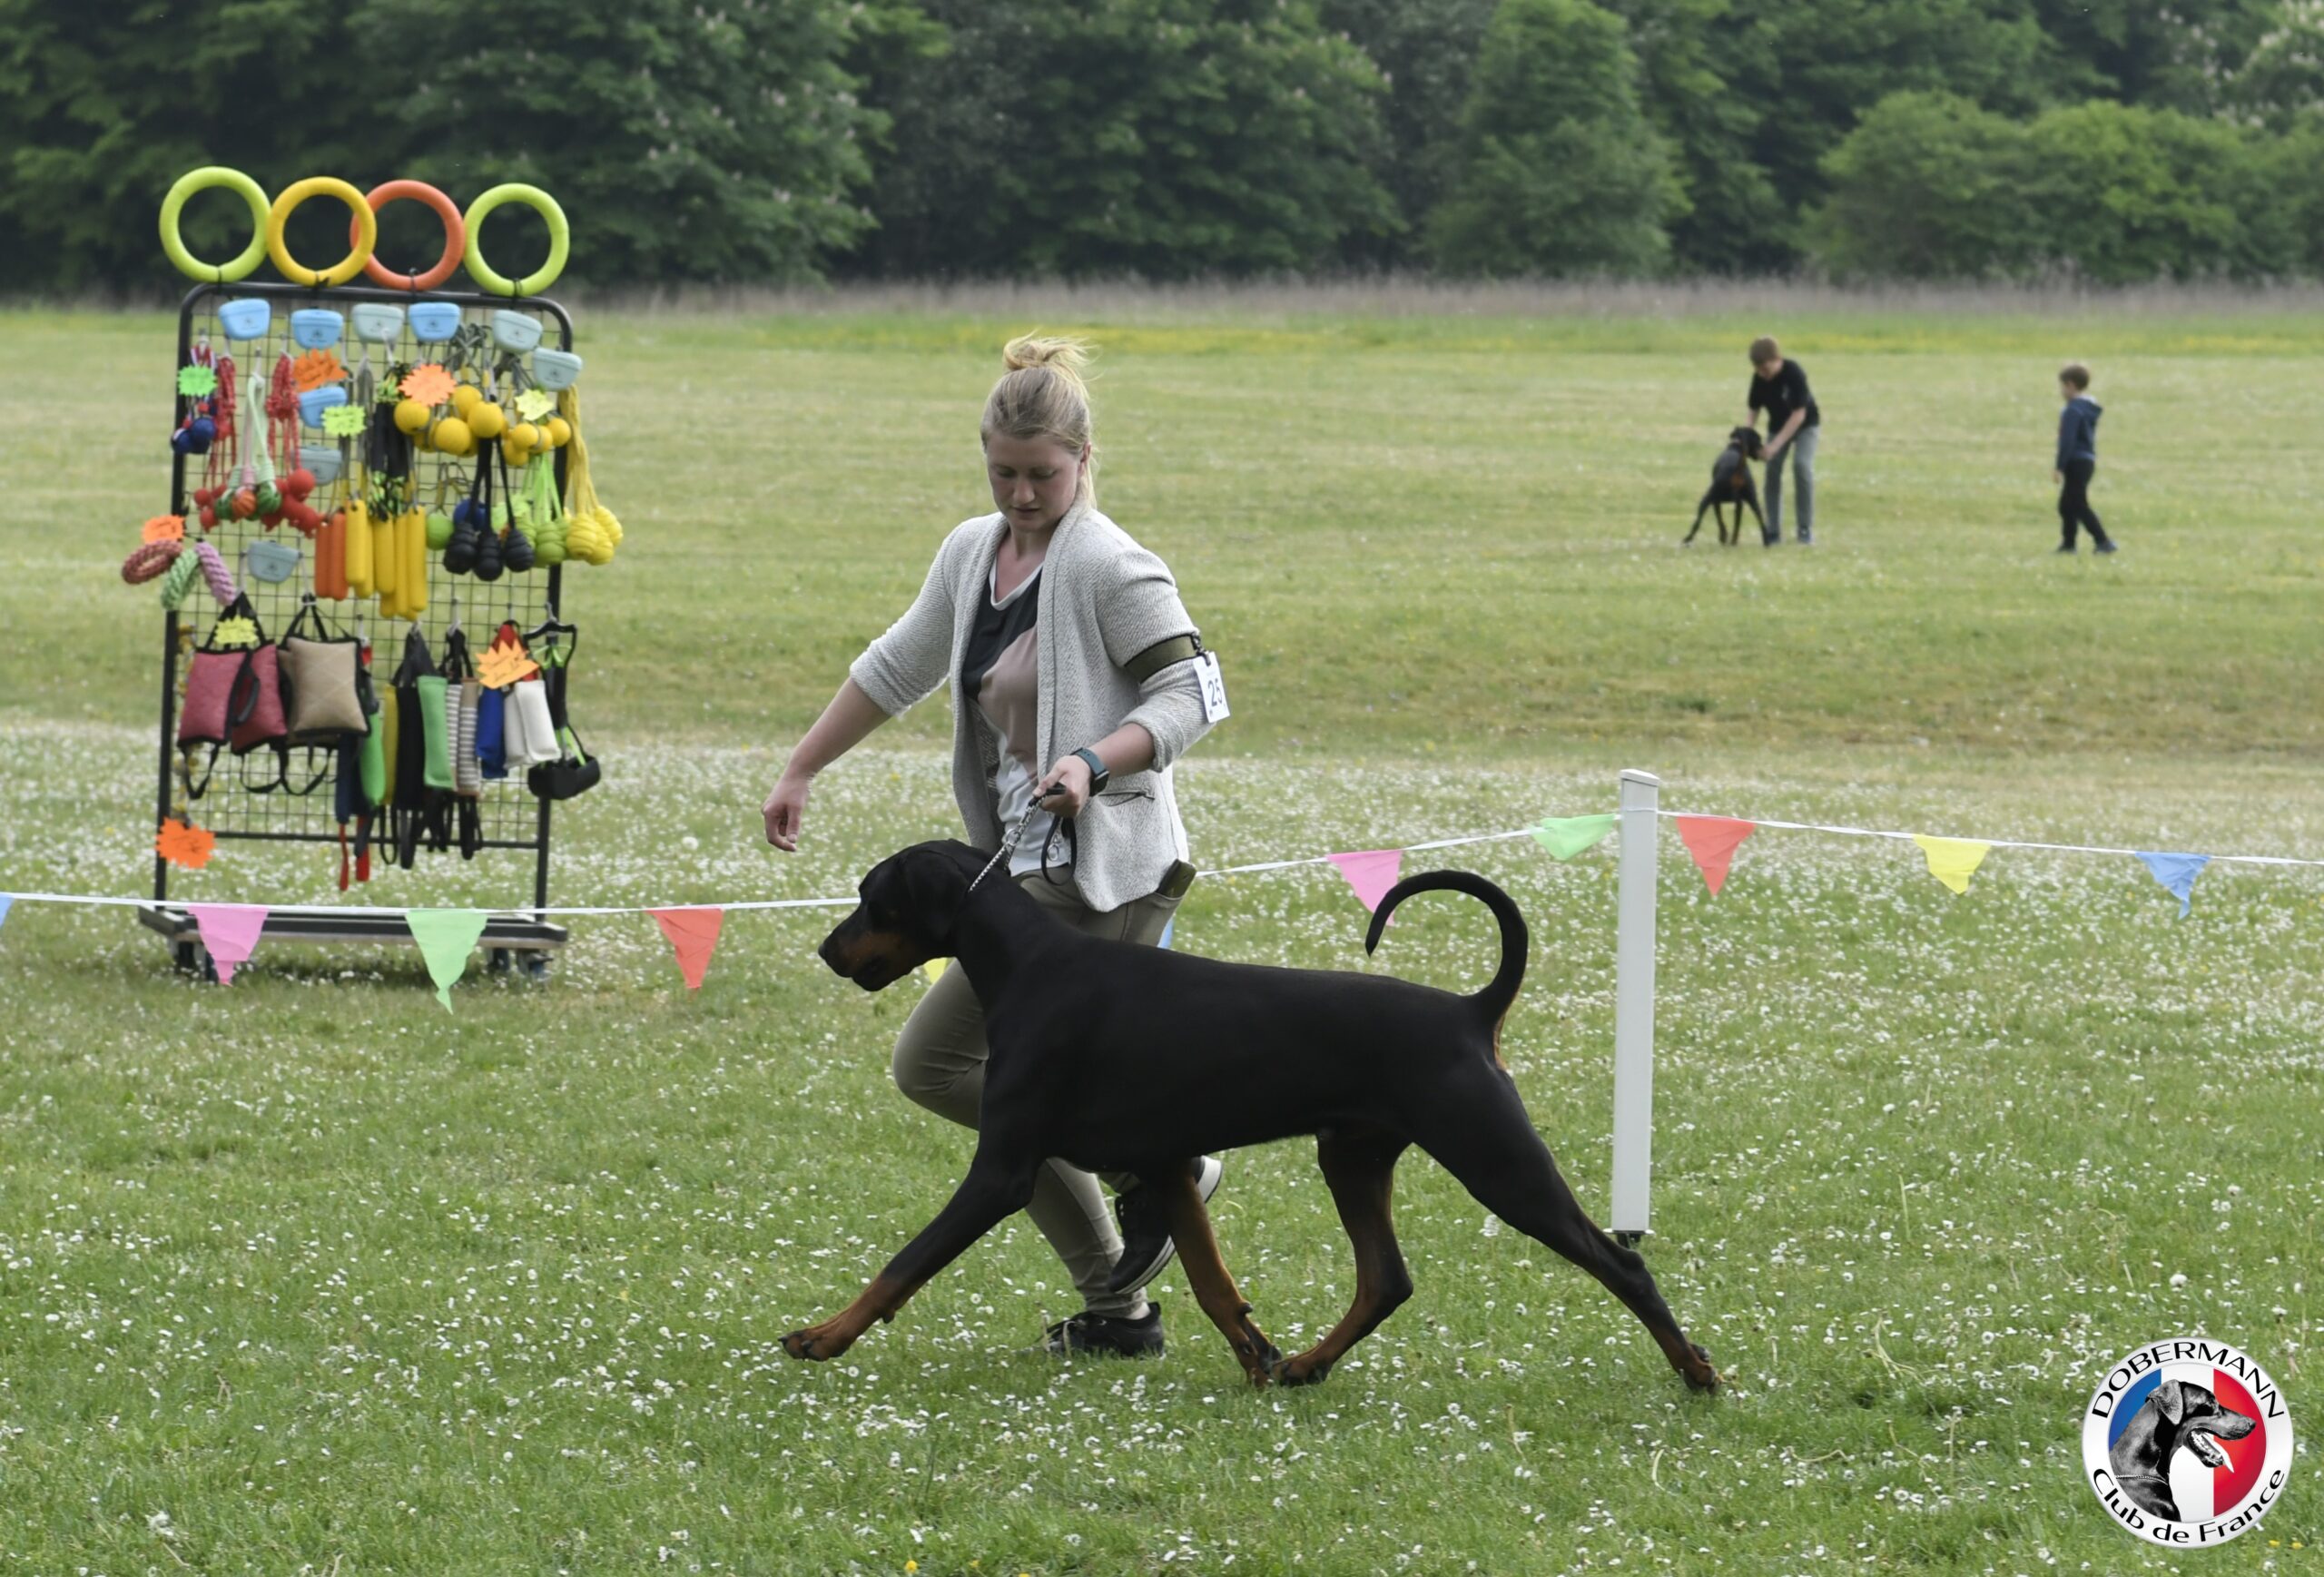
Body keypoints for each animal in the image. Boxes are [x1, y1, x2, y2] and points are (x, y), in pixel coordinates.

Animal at [786, 839, 1722, 1394]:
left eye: (871, 895)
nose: (827, 949)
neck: (1025, 963)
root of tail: (1469, 1009)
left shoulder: (1003, 1169)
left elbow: (903, 1263)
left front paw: (825, 1336)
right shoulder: (1166, 1164)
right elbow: (1210, 1281)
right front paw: (1260, 1355)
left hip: (1497, 1160)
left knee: (1620, 1261)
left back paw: (1696, 1371)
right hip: (1351, 1158)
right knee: (1386, 1278)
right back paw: (1307, 1364)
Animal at [1684, 426, 1766, 547]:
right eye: (1758, 439)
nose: (1763, 448)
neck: (1736, 447)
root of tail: (1737, 468)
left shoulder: (1715, 500)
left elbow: (1720, 519)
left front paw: (1723, 536)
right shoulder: (1736, 502)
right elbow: (1728, 521)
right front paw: (1725, 537)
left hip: (1708, 497)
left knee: (1698, 521)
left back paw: (1688, 538)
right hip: (1751, 499)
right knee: (1758, 520)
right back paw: (1765, 541)